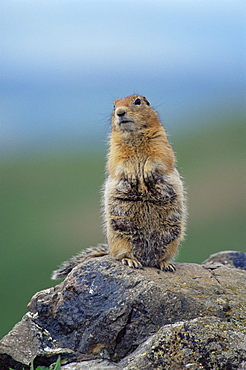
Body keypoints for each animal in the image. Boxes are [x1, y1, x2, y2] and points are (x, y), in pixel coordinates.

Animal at [52, 94, 186, 278]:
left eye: (138, 101)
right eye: (114, 105)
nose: (120, 112)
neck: (134, 134)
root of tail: (147, 259)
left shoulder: (161, 141)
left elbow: (160, 157)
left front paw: (147, 172)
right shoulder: (114, 148)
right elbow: (118, 162)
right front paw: (132, 175)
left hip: (172, 235)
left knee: (162, 256)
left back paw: (165, 264)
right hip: (120, 234)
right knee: (120, 255)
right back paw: (131, 261)